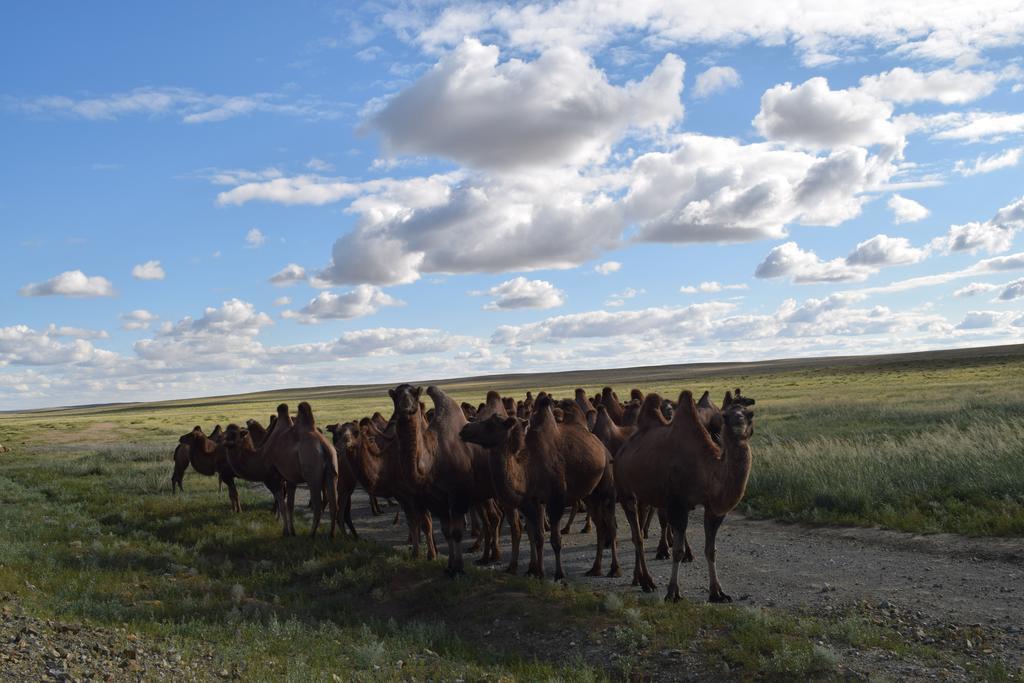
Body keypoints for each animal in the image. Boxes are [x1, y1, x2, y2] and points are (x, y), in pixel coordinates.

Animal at [614, 393, 753, 602]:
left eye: (749, 414)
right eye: (725, 416)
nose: (739, 424)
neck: (707, 470)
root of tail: (622, 450)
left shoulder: (713, 509)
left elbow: (711, 550)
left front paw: (717, 592)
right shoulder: (677, 504)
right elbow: (678, 551)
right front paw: (672, 592)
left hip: (645, 494)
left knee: (638, 528)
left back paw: (637, 578)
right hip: (626, 492)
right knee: (637, 536)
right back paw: (647, 581)